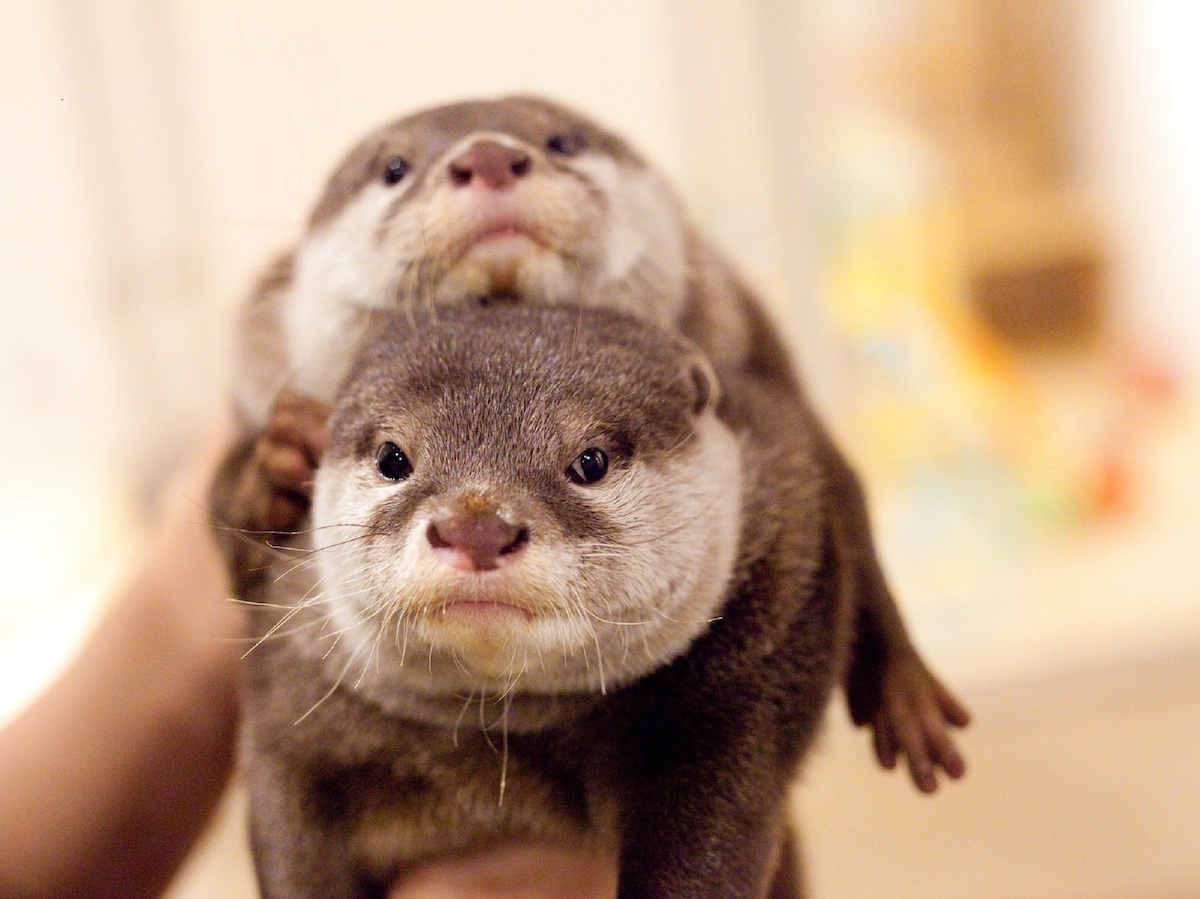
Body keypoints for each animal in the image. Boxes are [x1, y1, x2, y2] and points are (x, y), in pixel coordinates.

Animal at [216, 94, 969, 787]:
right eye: (393, 168)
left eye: (561, 140)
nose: (488, 155)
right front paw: (280, 451)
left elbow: (841, 494)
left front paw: (905, 689)